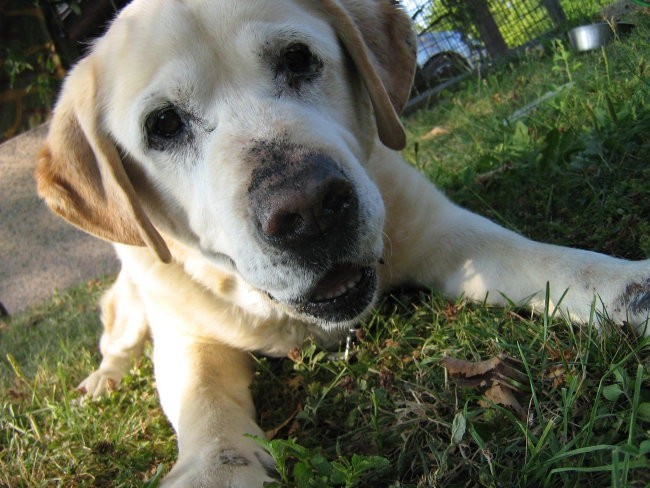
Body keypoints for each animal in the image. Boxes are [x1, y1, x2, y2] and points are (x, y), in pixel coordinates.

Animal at [36, 0, 648, 486]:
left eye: (298, 59)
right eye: (163, 124)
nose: (309, 211)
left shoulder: (447, 235)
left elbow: (565, 266)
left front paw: (634, 288)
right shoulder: (187, 336)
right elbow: (203, 401)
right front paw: (213, 467)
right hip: (131, 303)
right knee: (117, 344)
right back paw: (100, 381)